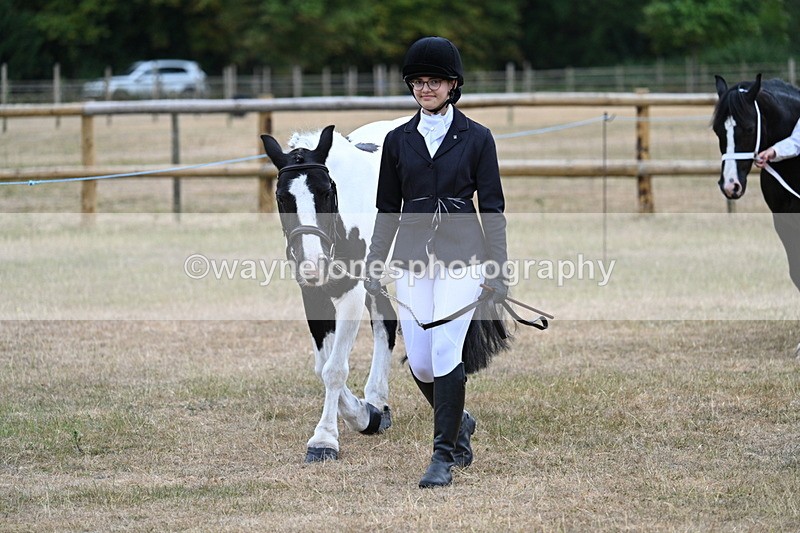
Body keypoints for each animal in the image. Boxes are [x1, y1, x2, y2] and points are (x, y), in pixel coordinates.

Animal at [260, 118, 407, 462]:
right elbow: (321, 366)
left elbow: (335, 369)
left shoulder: (351, 293)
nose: (314, 264)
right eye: (282, 197)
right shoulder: (314, 295)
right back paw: (377, 401)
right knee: (386, 323)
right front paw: (365, 415)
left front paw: (324, 440)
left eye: (326, 192)